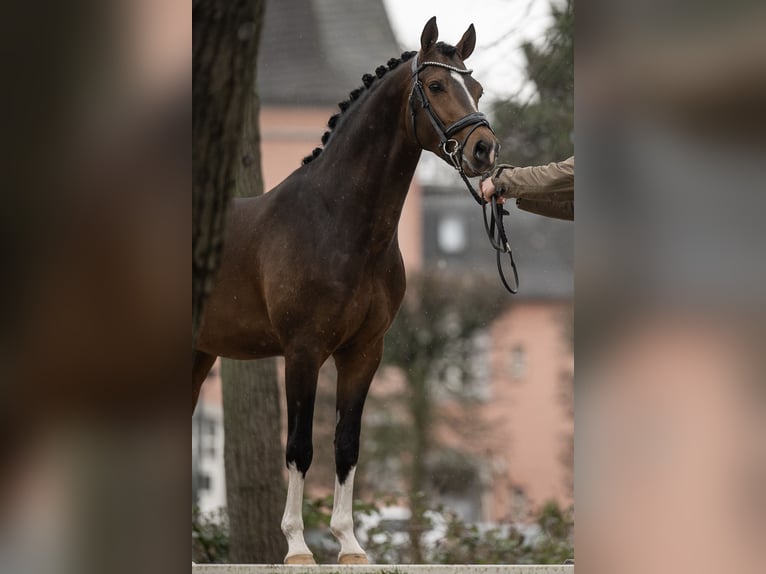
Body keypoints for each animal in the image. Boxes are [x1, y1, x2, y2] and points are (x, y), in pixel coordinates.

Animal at [195, 16, 500, 568]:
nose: (484, 150)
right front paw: (297, 546)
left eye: (479, 88)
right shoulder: (303, 351)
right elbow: (299, 446)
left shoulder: (363, 352)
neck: (338, 221)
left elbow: (348, 444)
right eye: (436, 85)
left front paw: (350, 544)